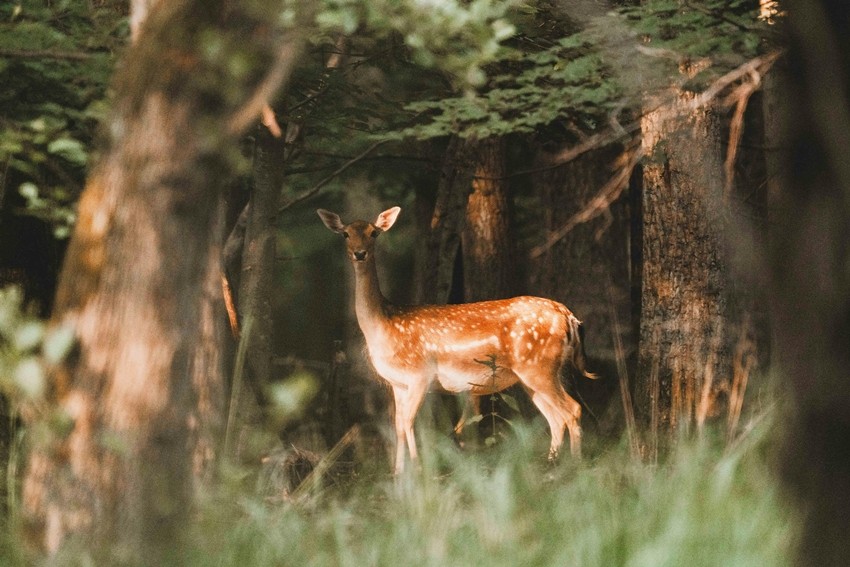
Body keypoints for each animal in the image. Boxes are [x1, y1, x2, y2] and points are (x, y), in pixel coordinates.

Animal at [317, 206, 598, 473]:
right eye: (345, 234)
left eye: (374, 233)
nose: (360, 253)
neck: (383, 325)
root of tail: (568, 316)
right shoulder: (398, 383)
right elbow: (398, 426)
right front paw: (397, 475)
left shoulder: (420, 373)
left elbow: (409, 423)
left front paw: (418, 471)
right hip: (534, 374)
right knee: (555, 418)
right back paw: (551, 466)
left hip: (539, 366)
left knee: (572, 410)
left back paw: (575, 465)